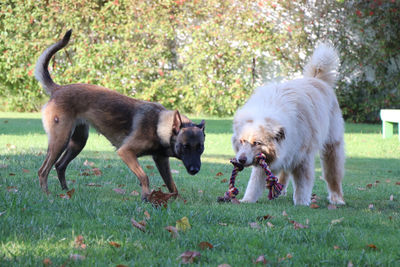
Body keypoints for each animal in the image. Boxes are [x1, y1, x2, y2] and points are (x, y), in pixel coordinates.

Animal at [34, 29, 206, 201]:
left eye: (200, 148)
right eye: (185, 146)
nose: (195, 170)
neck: (159, 124)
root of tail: (58, 89)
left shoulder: (161, 160)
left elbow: (173, 187)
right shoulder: (126, 152)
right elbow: (144, 176)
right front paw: (146, 197)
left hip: (78, 142)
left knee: (59, 165)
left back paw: (66, 191)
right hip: (60, 140)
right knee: (43, 170)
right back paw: (47, 194)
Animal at [233, 44, 346, 207]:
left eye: (257, 143)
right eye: (242, 141)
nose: (240, 160)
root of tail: (317, 79)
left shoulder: (302, 158)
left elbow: (302, 184)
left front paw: (301, 202)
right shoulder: (268, 159)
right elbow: (254, 183)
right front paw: (247, 200)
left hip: (332, 147)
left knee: (333, 176)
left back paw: (337, 198)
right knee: (285, 171)